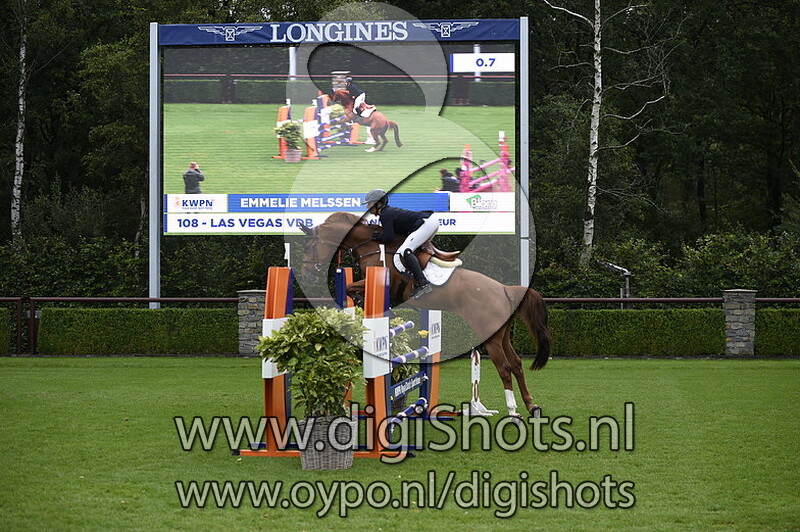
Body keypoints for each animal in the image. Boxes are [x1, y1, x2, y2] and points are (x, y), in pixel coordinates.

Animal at [298, 212, 551, 418]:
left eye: (311, 244)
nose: (307, 274)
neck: (374, 245)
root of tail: (505, 289)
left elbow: (351, 288)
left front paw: (359, 300)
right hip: (502, 334)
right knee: (516, 364)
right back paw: (531, 406)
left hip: (490, 336)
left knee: (505, 368)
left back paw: (513, 410)